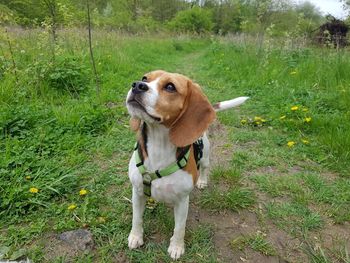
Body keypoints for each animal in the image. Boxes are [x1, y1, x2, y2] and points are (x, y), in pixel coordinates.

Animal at [126, 70, 249, 260]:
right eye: (145, 78)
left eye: (170, 87)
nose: (137, 85)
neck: (159, 145)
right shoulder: (137, 192)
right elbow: (136, 219)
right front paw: (135, 237)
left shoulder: (182, 201)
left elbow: (179, 228)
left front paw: (177, 247)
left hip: (205, 157)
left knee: (205, 168)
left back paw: (202, 181)